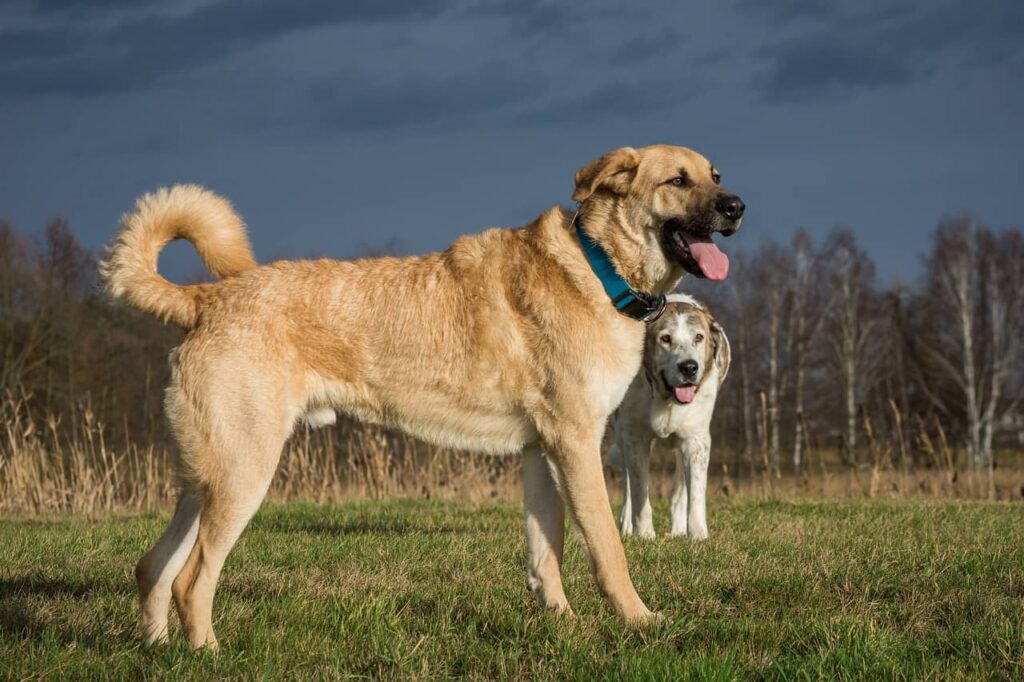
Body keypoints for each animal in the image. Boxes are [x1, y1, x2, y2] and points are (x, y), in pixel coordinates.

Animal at [606, 292, 729, 536]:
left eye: (699, 338)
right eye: (665, 339)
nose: (689, 367)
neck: (667, 400)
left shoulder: (696, 441)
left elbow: (695, 494)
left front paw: (698, 535)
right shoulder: (634, 437)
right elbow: (639, 491)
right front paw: (644, 534)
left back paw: (679, 530)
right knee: (627, 483)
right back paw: (627, 524)